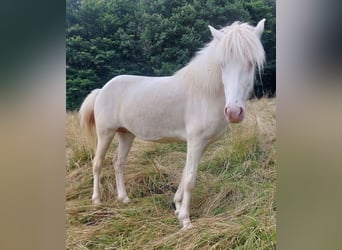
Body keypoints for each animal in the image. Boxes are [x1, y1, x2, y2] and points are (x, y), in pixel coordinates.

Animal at [79, 19, 266, 230]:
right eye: (222, 64)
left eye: (251, 63)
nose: (234, 112)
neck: (205, 92)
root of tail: (102, 89)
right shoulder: (195, 141)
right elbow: (190, 179)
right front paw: (185, 220)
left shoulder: (201, 144)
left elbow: (185, 175)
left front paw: (176, 206)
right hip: (105, 133)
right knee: (97, 163)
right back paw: (96, 200)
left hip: (126, 134)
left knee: (118, 162)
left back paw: (124, 198)